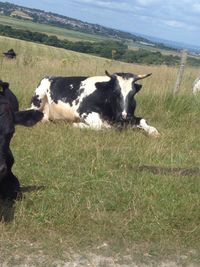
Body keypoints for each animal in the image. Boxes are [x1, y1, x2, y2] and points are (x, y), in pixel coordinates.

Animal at [30, 70, 160, 137]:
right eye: (115, 92)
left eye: (132, 93)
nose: (123, 116)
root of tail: (50, 76)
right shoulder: (84, 111)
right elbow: (99, 125)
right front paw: (77, 125)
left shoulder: (129, 115)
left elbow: (142, 120)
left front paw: (154, 132)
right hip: (38, 99)